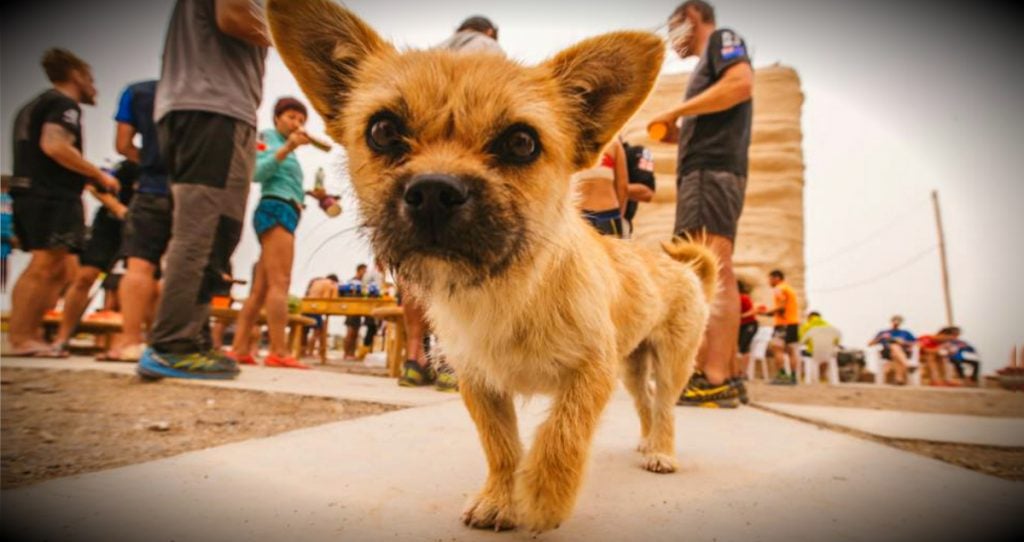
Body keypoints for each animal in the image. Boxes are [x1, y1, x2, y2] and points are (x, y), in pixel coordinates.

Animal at [268, 0, 716, 532]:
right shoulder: (480, 383)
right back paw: (648, 443)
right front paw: (501, 499)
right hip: (632, 365)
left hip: (671, 363)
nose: (433, 192)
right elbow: (500, 445)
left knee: (664, 405)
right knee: (646, 404)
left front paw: (544, 496)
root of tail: (688, 272)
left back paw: (662, 452)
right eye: (382, 131)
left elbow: (563, 434)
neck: (505, 286)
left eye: (521, 143)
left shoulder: (591, 371)